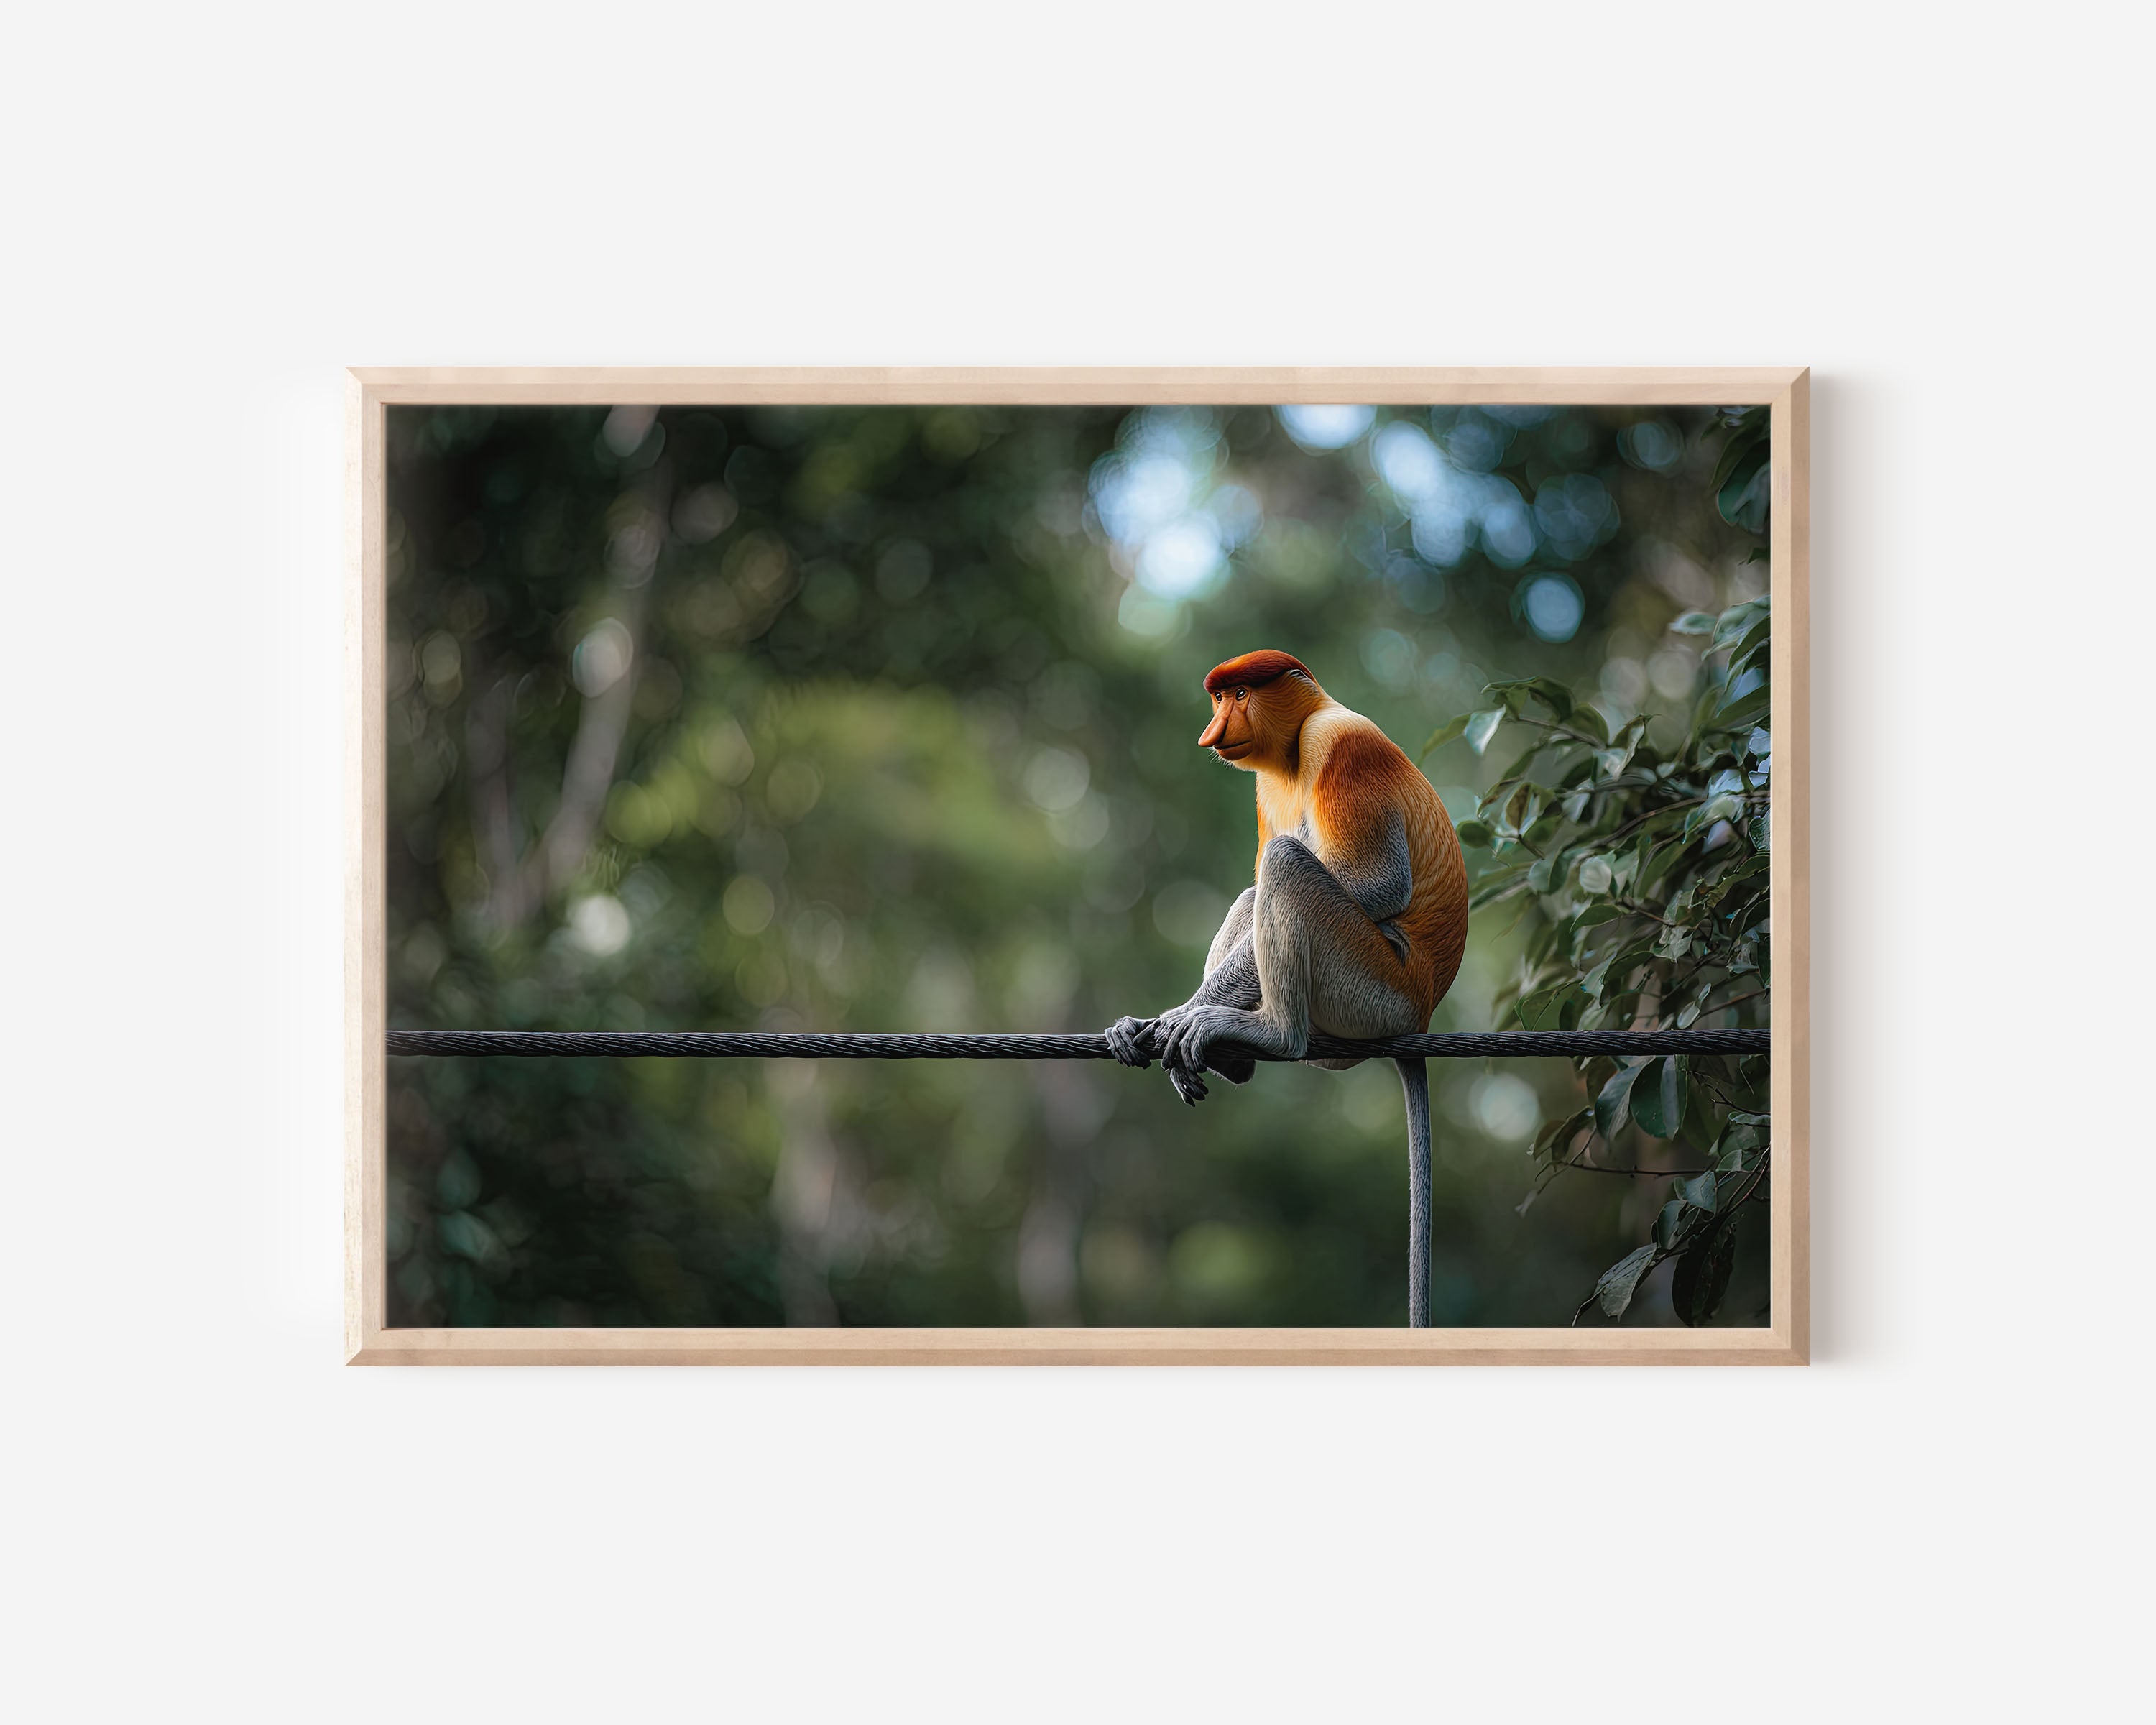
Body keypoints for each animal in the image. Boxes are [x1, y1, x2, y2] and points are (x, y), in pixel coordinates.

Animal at [1104, 650, 1470, 1324]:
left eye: (1240, 694)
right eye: (1219, 698)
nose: (1212, 732)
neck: (1297, 748)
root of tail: (1421, 1012)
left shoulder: (1341, 745)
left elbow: (1376, 884)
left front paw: (1174, 1019)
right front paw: (1146, 1026)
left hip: (1370, 986)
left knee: (1285, 864)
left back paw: (1268, 1035)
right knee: (1256, 890)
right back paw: (1233, 1058)